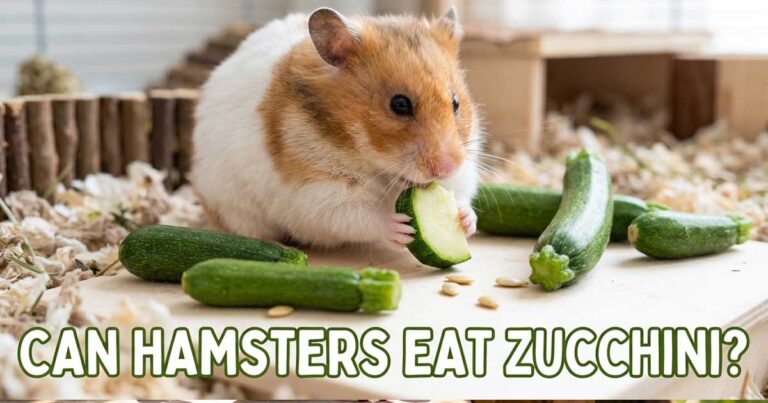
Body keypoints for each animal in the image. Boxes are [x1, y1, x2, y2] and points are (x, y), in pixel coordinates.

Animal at [192, 7, 483, 249]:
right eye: (399, 105)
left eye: (456, 103)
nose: (446, 168)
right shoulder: (315, 192)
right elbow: (356, 216)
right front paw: (401, 227)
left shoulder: (464, 171)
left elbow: (460, 194)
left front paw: (464, 220)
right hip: (231, 207)